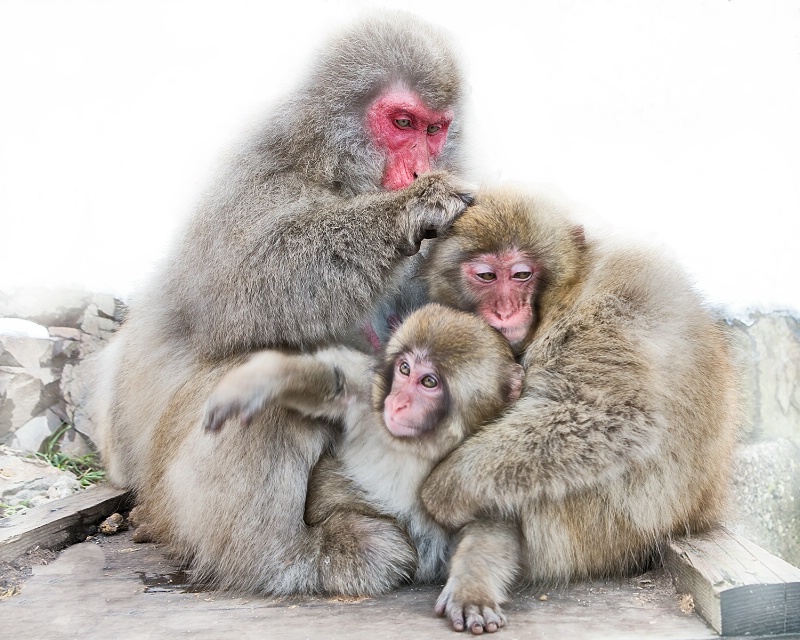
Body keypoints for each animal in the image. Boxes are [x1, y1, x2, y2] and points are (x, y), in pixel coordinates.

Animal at [87, 12, 476, 596]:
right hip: (172, 503)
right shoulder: (249, 180)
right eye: (403, 122)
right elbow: (246, 281)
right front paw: (413, 208)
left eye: (435, 130)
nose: (417, 169)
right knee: (264, 381)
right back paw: (288, 559)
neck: (334, 175)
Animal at [200, 304, 524, 596]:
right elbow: (337, 387)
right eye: (405, 369)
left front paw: (471, 589)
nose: (398, 402)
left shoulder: (469, 471)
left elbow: (490, 526)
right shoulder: (368, 404)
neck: (413, 449)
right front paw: (261, 381)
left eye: (428, 381)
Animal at [422, 186, 740, 636]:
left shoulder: (603, 314)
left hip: (600, 531)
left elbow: (613, 415)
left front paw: (444, 488)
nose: (505, 311)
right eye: (486, 276)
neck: (566, 293)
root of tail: (697, 517)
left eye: (521, 274)